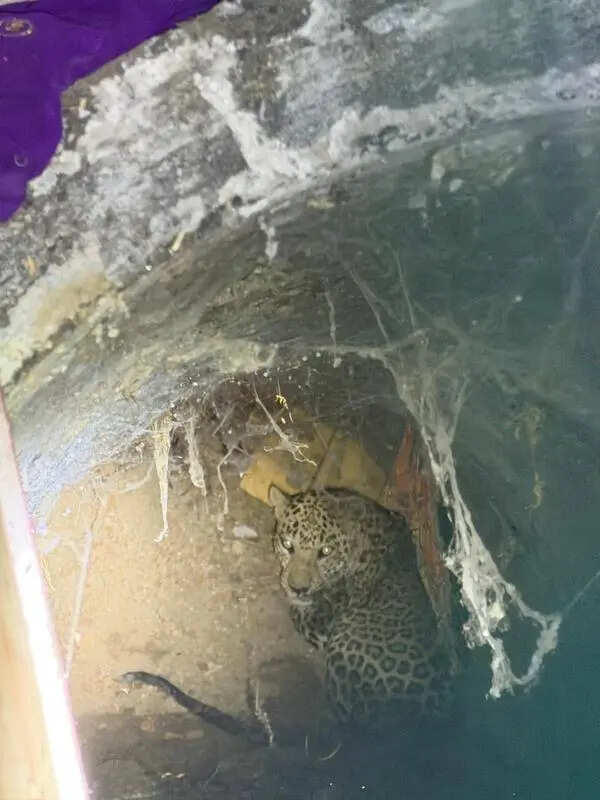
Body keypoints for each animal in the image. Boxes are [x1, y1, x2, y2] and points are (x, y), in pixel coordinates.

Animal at [269, 485, 453, 726]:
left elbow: (300, 611)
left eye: (325, 551)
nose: (298, 588)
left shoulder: (322, 622)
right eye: (287, 544)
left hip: (343, 647)